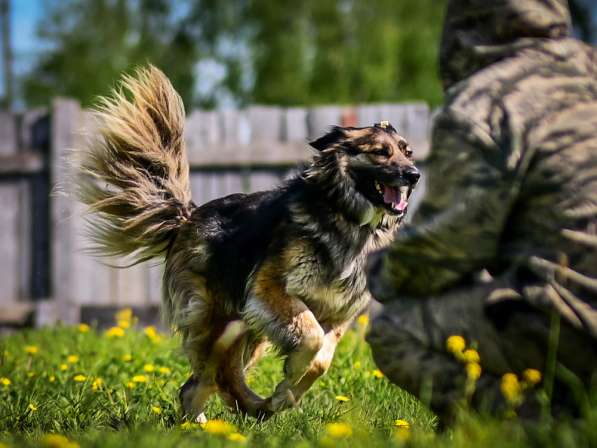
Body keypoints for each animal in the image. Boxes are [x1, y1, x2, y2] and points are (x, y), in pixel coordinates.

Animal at [77, 65, 420, 420]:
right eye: (380, 153)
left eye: (407, 152)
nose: (414, 175)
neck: (347, 217)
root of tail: (189, 217)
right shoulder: (269, 289)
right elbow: (311, 338)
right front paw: (290, 379)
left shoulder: (338, 314)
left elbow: (322, 360)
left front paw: (289, 390)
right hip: (222, 317)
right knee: (216, 375)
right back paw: (240, 410)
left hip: (248, 330)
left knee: (205, 381)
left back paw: (235, 414)